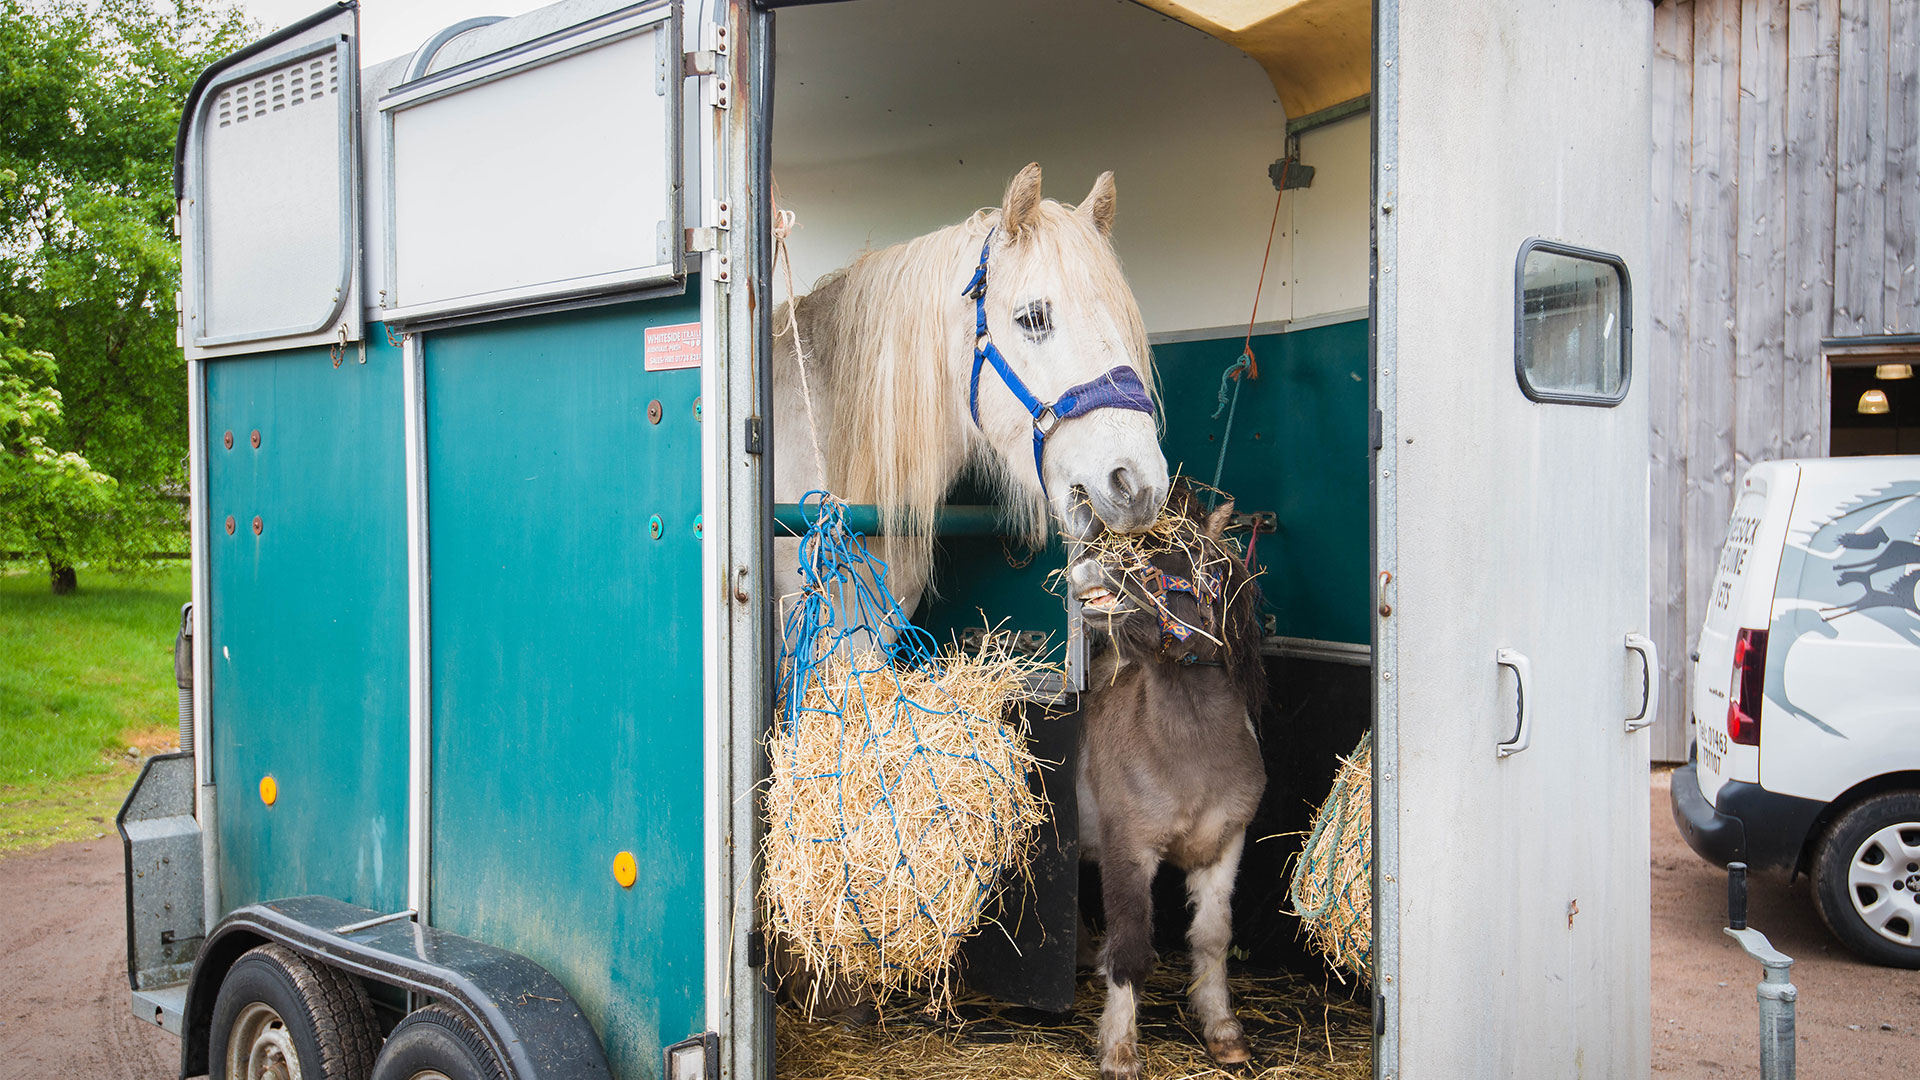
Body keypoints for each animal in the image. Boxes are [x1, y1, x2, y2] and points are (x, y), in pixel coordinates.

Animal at [1067, 482, 1269, 1080]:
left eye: (1177, 553)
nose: (1092, 563)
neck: (1189, 754)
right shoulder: (1129, 851)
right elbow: (1132, 945)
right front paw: (1119, 1049)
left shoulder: (1224, 846)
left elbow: (1212, 937)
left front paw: (1223, 1030)